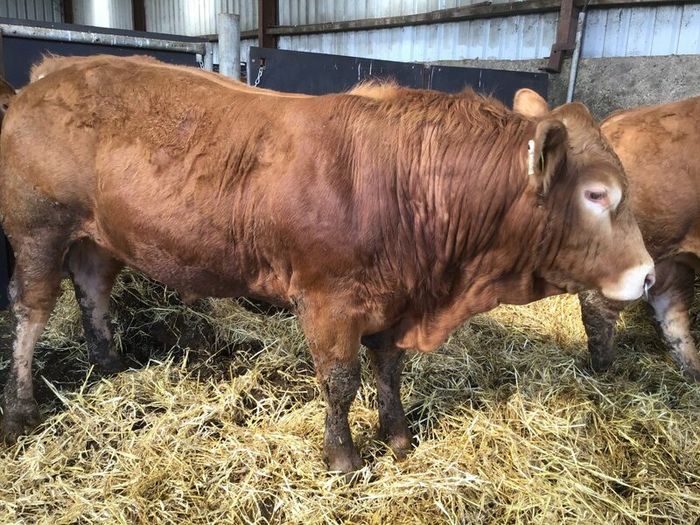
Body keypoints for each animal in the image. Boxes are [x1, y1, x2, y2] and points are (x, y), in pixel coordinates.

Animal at [0, 55, 654, 473]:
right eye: (596, 194)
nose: (647, 274)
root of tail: (49, 74)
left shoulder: (396, 300)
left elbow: (389, 371)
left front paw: (398, 439)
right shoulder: (329, 299)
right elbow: (340, 382)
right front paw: (343, 458)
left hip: (97, 237)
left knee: (92, 289)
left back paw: (110, 367)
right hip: (37, 230)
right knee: (31, 312)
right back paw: (22, 405)